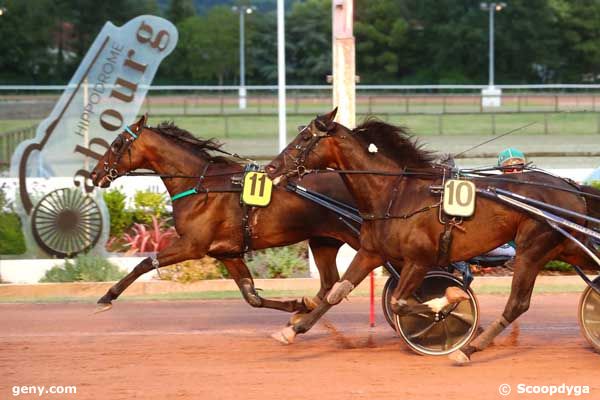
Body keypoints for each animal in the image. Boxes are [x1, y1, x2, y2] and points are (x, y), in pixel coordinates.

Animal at [89, 115, 366, 316]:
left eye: (116, 144)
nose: (94, 175)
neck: (201, 185)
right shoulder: (228, 253)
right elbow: (252, 296)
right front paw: (298, 305)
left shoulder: (192, 245)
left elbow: (145, 263)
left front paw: (107, 297)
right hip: (323, 241)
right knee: (331, 283)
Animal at [268, 108, 600, 362]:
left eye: (304, 139)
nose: (271, 167)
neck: (394, 195)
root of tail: (572, 188)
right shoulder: (372, 252)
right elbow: (337, 292)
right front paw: (291, 330)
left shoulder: (420, 260)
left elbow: (401, 302)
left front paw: (449, 301)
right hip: (565, 247)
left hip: (533, 248)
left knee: (517, 303)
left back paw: (468, 350)